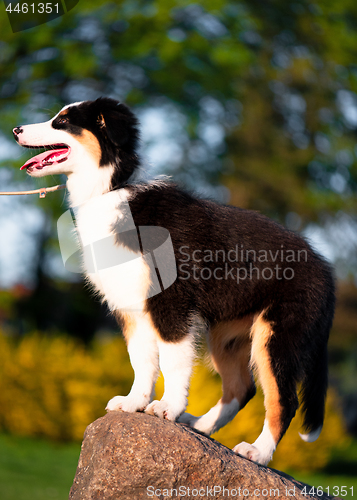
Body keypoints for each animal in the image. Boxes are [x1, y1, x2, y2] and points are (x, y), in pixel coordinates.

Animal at [13, 97, 334, 464]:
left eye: (63, 121)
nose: (16, 129)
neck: (110, 190)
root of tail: (326, 272)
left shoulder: (171, 303)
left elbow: (171, 360)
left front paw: (167, 407)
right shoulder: (132, 306)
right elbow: (141, 360)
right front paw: (134, 403)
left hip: (277, 335)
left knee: (283, 399)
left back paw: (257, 452)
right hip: (228, 336)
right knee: (242, 388)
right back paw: (199, 425)